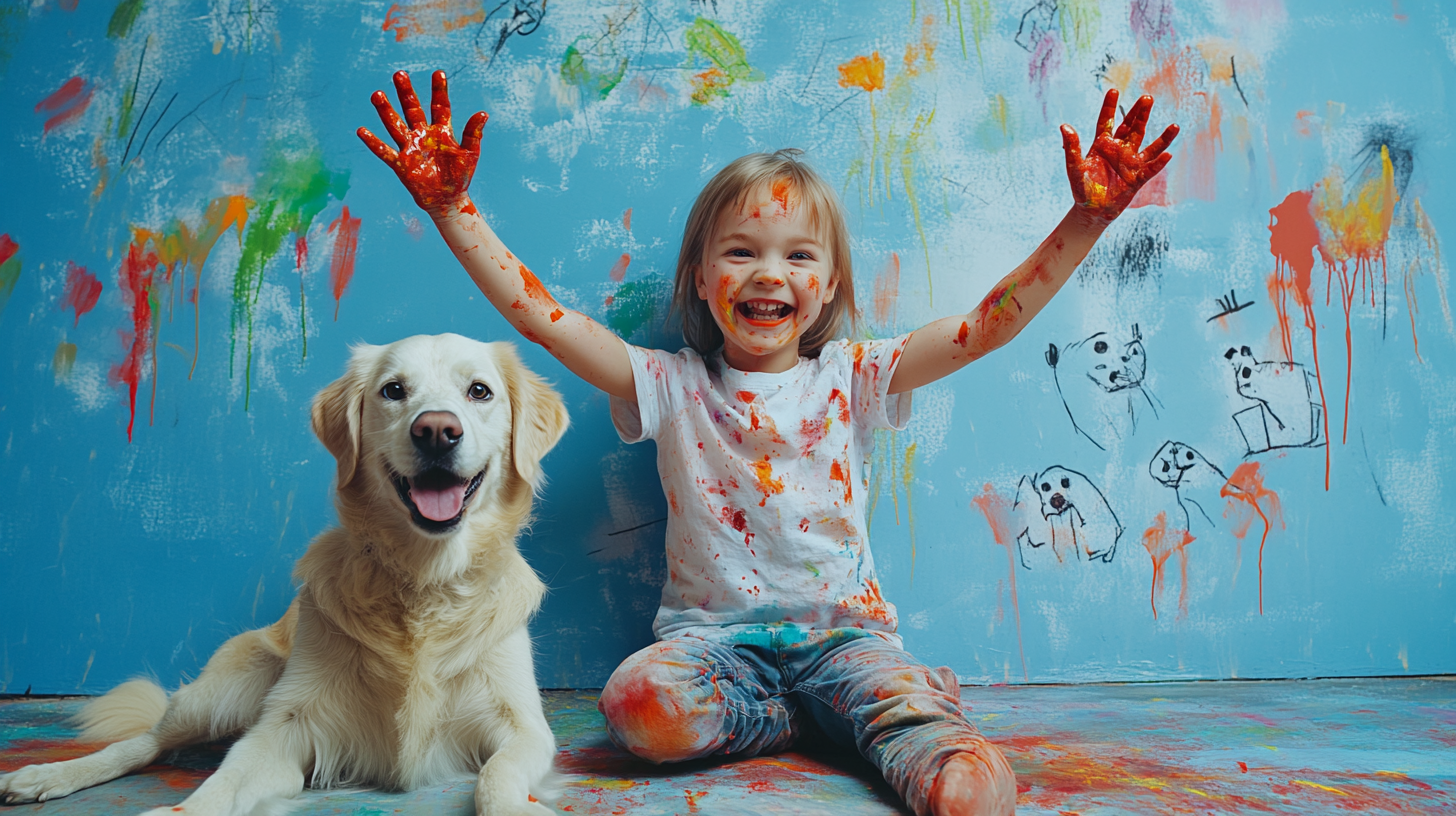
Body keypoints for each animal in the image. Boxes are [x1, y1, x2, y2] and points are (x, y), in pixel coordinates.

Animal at [0, 333, 567, 816]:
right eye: (393, 390)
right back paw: (46, 775)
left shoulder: (523, 727)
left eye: (479, 391)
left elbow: (496, 775)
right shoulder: (284, 727)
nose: (436, 431)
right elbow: (223, 780)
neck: (424, 578)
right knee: (148, 741)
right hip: (224, 691)